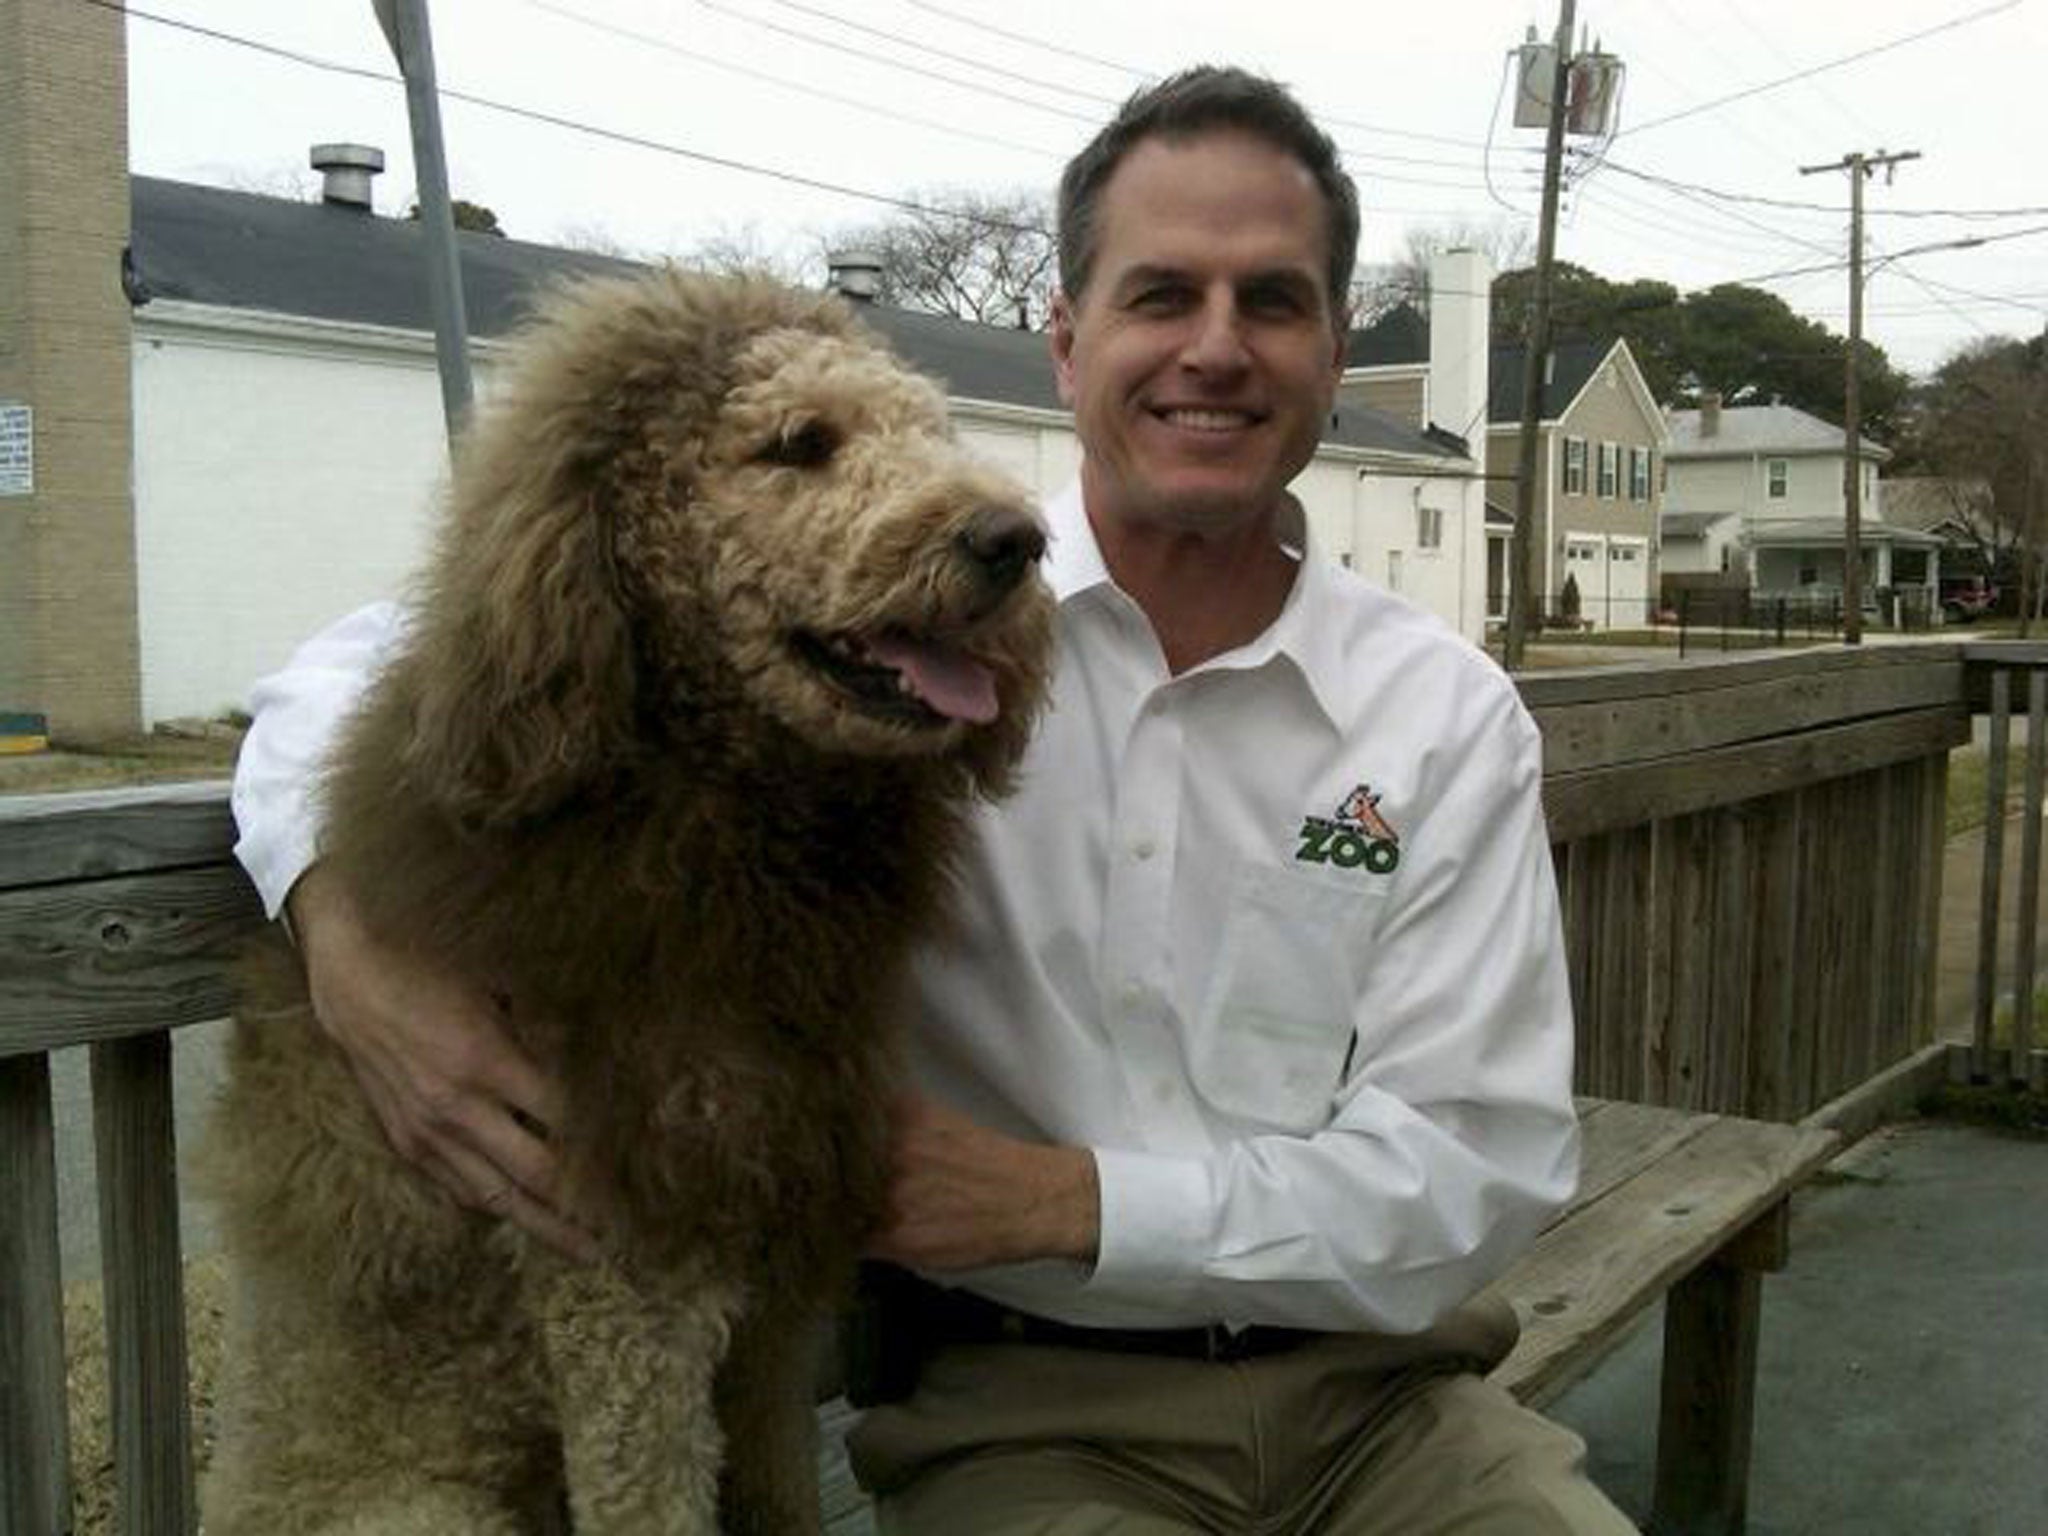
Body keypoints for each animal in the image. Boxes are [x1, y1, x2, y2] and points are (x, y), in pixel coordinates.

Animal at [203, 270, 1056, 1531]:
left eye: (931, 430)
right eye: (798, 444)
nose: (1016, 540)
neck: (698, 819)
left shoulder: (771, 1291)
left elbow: (778, 1491)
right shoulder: (624, 1301)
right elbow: (652, 1495)